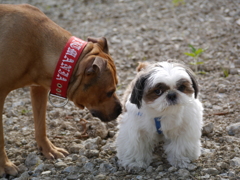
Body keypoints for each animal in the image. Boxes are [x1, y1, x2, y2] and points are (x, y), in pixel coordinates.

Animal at [0, 3, 122, 176]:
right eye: (110, 92)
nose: (121, 109)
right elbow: (1, 138)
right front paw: (4, 165)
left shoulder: (39, 89)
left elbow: (41, 125)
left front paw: (48, 149)